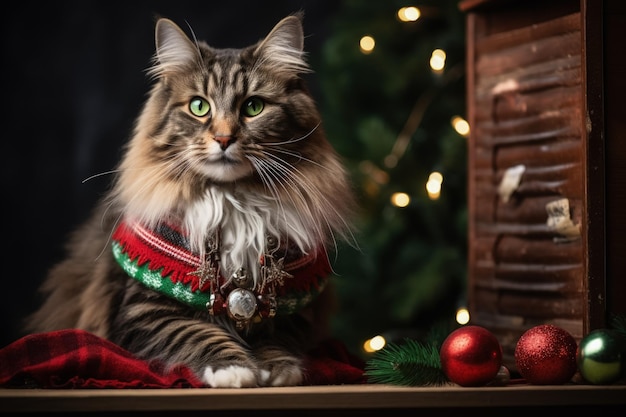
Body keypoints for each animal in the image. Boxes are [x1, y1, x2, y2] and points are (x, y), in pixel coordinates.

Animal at [24, 13, 354, 390]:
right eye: (199, 107)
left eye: (253, 107)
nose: (224, 138)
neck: (233, 202)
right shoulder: (143, 309)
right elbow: (196, 334)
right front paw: (234, 369)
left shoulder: (295, 308)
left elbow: (276, 339)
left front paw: (277, 370)